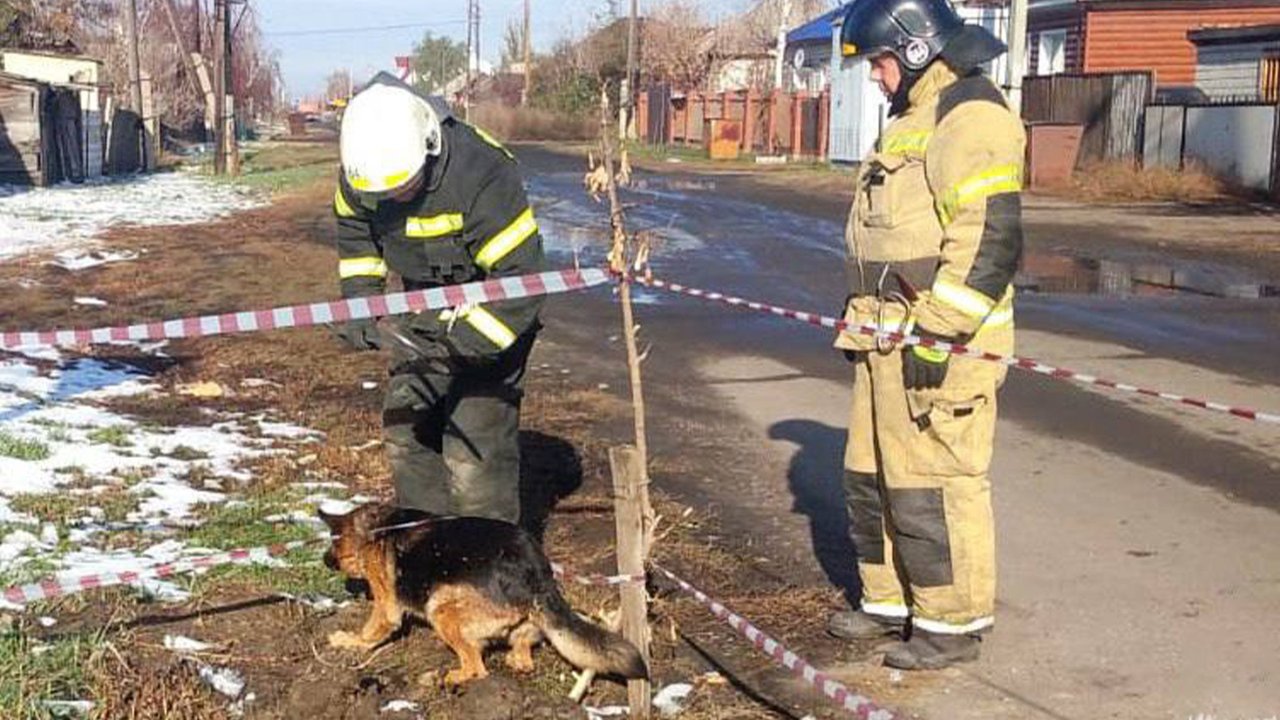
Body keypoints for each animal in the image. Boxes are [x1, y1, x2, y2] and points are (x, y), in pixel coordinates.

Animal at [316, 502, 645, 681]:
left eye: (332, 544)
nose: (323, 561)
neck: (375, 529)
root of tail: (537, 576)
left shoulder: (386, 604)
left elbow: (371, 631)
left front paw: (350, 641)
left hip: (440, 607)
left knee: (476, 666)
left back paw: (453, 677)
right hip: (525, 623)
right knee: (523, 653)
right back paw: (516, 661)